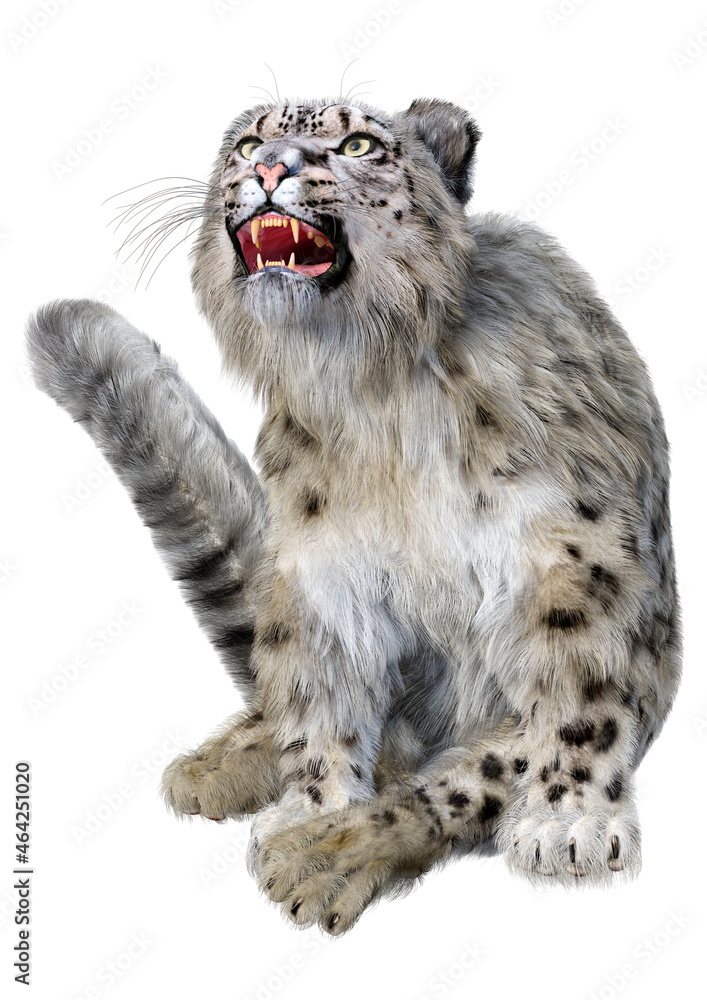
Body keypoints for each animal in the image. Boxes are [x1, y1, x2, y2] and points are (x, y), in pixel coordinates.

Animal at [26, 96, 681, 936]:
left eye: (360, 144)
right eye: (247, 139)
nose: (269, 165)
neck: (371, 385)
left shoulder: (572, 559)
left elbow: (566, 709)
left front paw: (565, 823)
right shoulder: (318, 566)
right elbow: (320, 696)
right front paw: (312, 808)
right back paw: (226, 767)